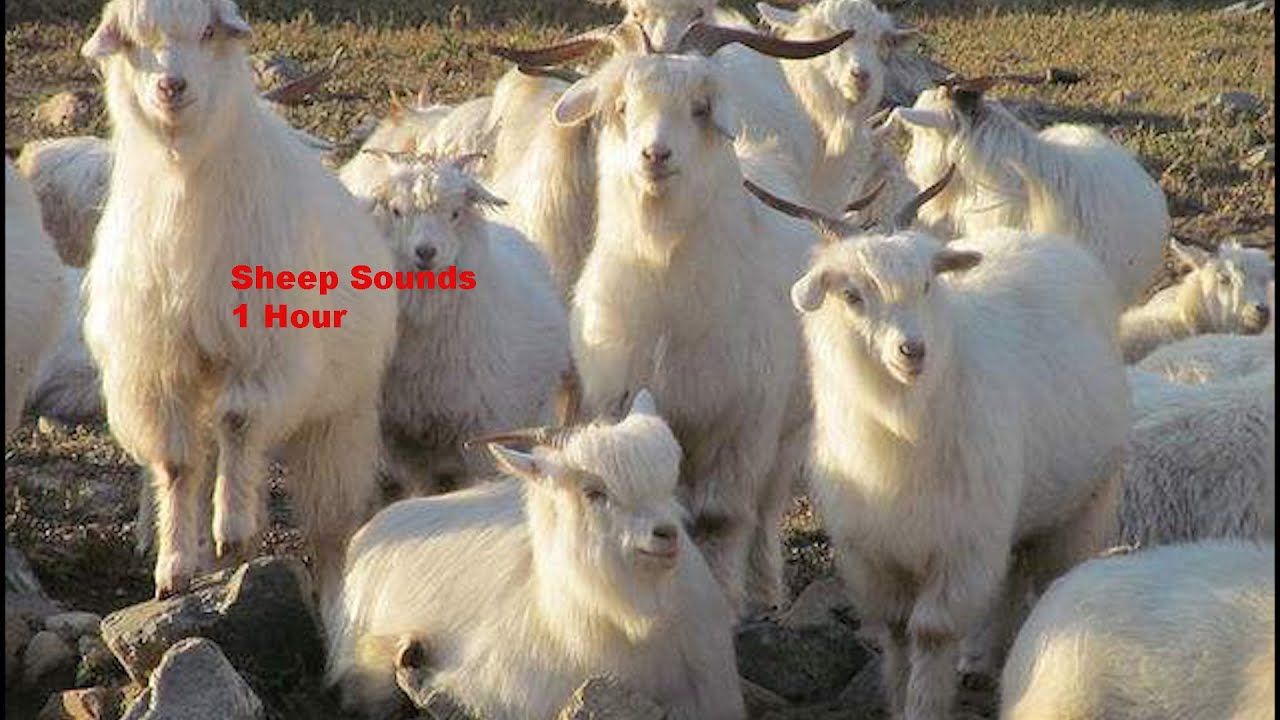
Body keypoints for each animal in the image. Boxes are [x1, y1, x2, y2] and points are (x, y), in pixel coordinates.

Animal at [80, 0, 397, 601]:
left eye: (208, 31)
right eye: (132, 40)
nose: (171, 86)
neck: (183, 182)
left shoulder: (261, 351)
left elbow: (239, 423)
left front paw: (232, 530)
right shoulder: (158, 365)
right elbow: (177, 464)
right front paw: (176, 565)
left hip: (338, 415)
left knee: (327, 520)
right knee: (205, 459)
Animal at [552, 46, 825, 615]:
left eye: (700, 109)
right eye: (622, 107)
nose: (655, 155)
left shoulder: (743, 424)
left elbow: (723, 518)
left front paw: (726, 602)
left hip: (788, 433)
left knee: (766, 510)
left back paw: (767, 591)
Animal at [769, 178, 1129, 717]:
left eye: (926, 285)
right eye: (852, 295)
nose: (912, 350)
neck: (901, 430)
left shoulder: (963, 543)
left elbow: (931, 631)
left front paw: (923, 706)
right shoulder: (873, 554)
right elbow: (898, 629)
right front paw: (899, 698)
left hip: (1082, 504)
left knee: (1045, 578)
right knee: (1010, 574)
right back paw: (980, 661)